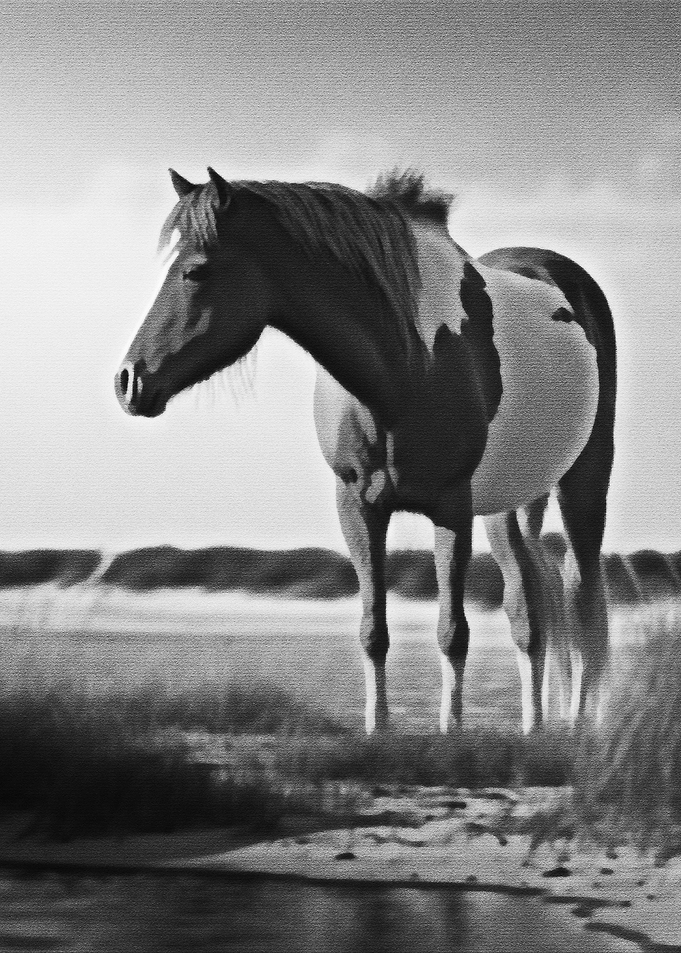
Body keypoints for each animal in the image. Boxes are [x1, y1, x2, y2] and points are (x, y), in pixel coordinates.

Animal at [115, 167, 616, 735]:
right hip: (510, 506)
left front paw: (450, 730)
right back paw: (534, 726)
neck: (405, 361)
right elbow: (373, 628)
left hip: (582, 484)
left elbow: (452, 629)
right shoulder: (358, 505)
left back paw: (578, 723)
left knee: (581, 591)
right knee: (529, 606)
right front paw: (379, 727)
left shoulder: (451, 507)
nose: (129, 381)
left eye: (195, 270)